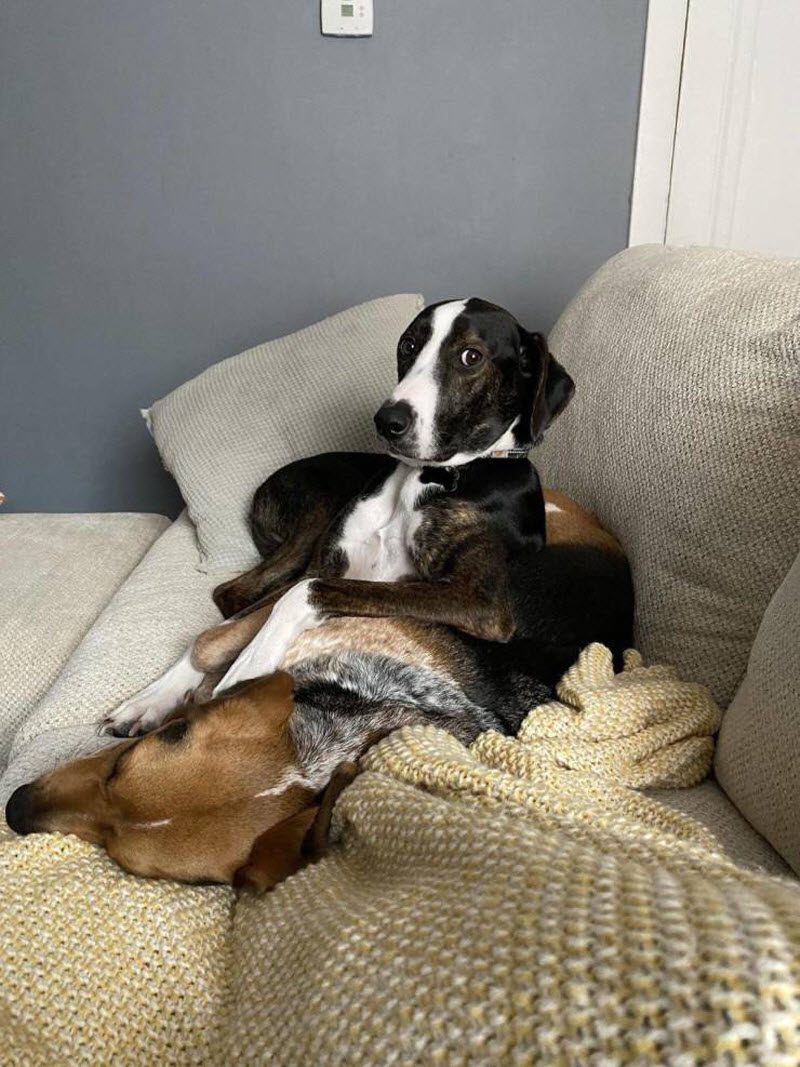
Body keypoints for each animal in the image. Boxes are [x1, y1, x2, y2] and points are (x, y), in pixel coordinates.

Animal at [5, 298, 633, 887]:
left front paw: (243, 674)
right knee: (235, 598)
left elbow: (295, 603)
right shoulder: (336, 564)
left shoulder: (473, 604)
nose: (388, 420)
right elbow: (220, 634)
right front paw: (159, 698)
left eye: (470, 357)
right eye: (409, 345)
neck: (424, 480)